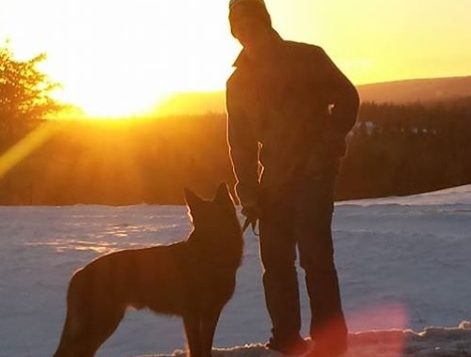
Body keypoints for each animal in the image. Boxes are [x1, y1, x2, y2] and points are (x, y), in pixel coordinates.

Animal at [53, 184, 243, 356]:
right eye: (199, 224)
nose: (194, 242)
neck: (210, 262)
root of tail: (79, 273)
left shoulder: (211, 314)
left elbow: (206, 348)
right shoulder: (192, 315)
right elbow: (196, 349)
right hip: (101, 324)